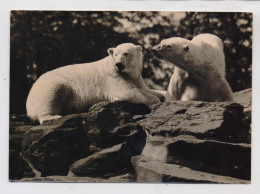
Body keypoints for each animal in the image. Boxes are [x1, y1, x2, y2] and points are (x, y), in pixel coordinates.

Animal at [26, 43, 162, 123]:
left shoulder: (136, 77)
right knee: (50, 94)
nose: (118, 64)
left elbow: (145, 89)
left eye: (126, 53)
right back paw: (52, 116)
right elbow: (129, 92)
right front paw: (155, 102)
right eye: (116, 54)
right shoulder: (113, 76)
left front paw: (161, 94)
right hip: (50, 85)